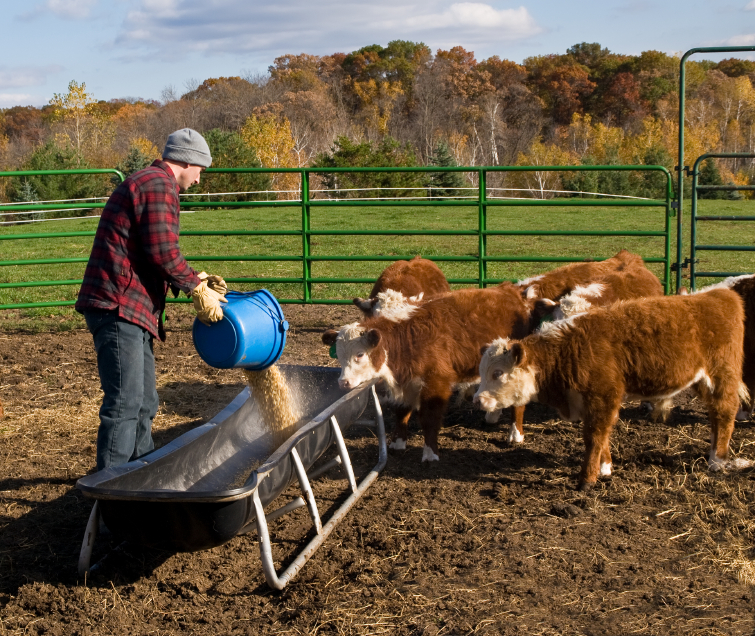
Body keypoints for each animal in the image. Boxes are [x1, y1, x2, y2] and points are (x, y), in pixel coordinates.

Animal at [322, 286, 536, 460]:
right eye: (339, 355)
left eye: (360, 354)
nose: (343, 382)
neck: (407, 339)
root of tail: (510, 290)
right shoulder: (405, 383)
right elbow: (401, 412)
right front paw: (398, 443)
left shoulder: (436, 384)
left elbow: (429, 419)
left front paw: (430, 453)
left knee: (519, 402)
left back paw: (515, 434)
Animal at [476, 290, 748, 490]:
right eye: (481, 371)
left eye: (497, 373)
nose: (478, 401)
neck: (569, 349)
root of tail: (717, 294)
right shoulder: (594, 402)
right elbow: (603, 434)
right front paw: (605, 468)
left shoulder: (603, 396)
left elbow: (595, 436)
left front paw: (587, 479)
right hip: (701, 381)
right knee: (715, 416)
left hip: (721, 376)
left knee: (725, 412)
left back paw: (717, 460)